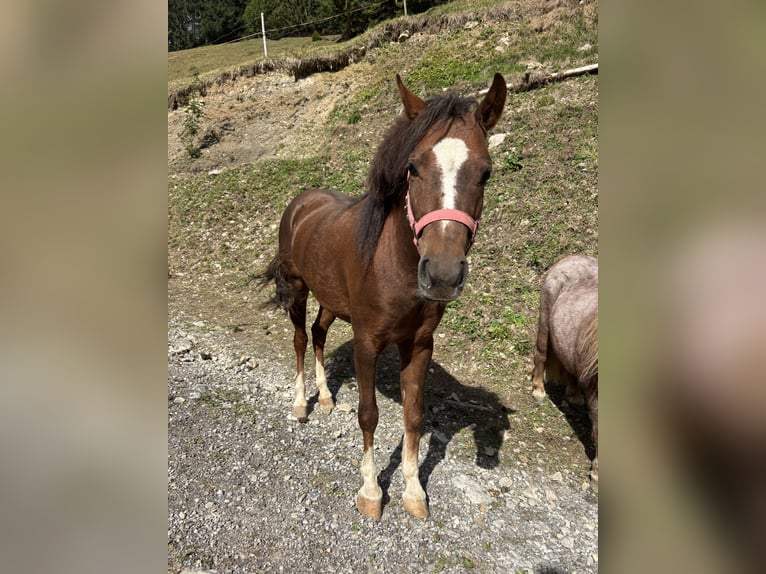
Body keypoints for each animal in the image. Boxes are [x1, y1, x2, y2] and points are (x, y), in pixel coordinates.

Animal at [259, 73, 507, 520]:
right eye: (413, 168)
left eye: (486, 174)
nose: (442, 274)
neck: (394, 264)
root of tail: (300, 202)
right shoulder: (366, 343)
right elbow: (369, 415)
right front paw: (372, 491)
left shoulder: (419, 345)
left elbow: (414, 416)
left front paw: (413, 491)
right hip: (299, 291)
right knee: (301, 340)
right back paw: (302, 404)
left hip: (331, 302)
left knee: (319, 335)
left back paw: (325, 397)